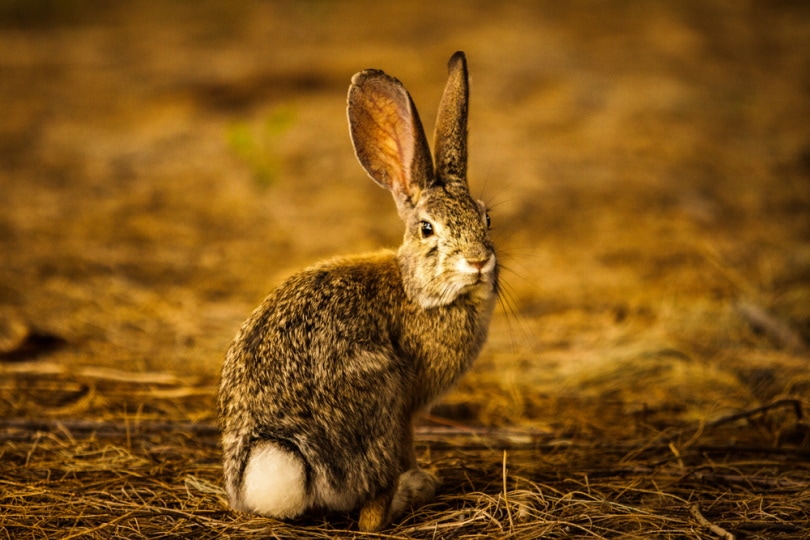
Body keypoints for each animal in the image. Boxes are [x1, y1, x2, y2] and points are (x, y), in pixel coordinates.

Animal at [218, 50, 498, 532]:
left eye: (488, 219)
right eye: (427, 229)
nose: (479, 261)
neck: (416, 291)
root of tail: (277, 451)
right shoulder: (406, 409)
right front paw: (421, 475)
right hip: (379, 400)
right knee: (372, 513)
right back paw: (414, 490)